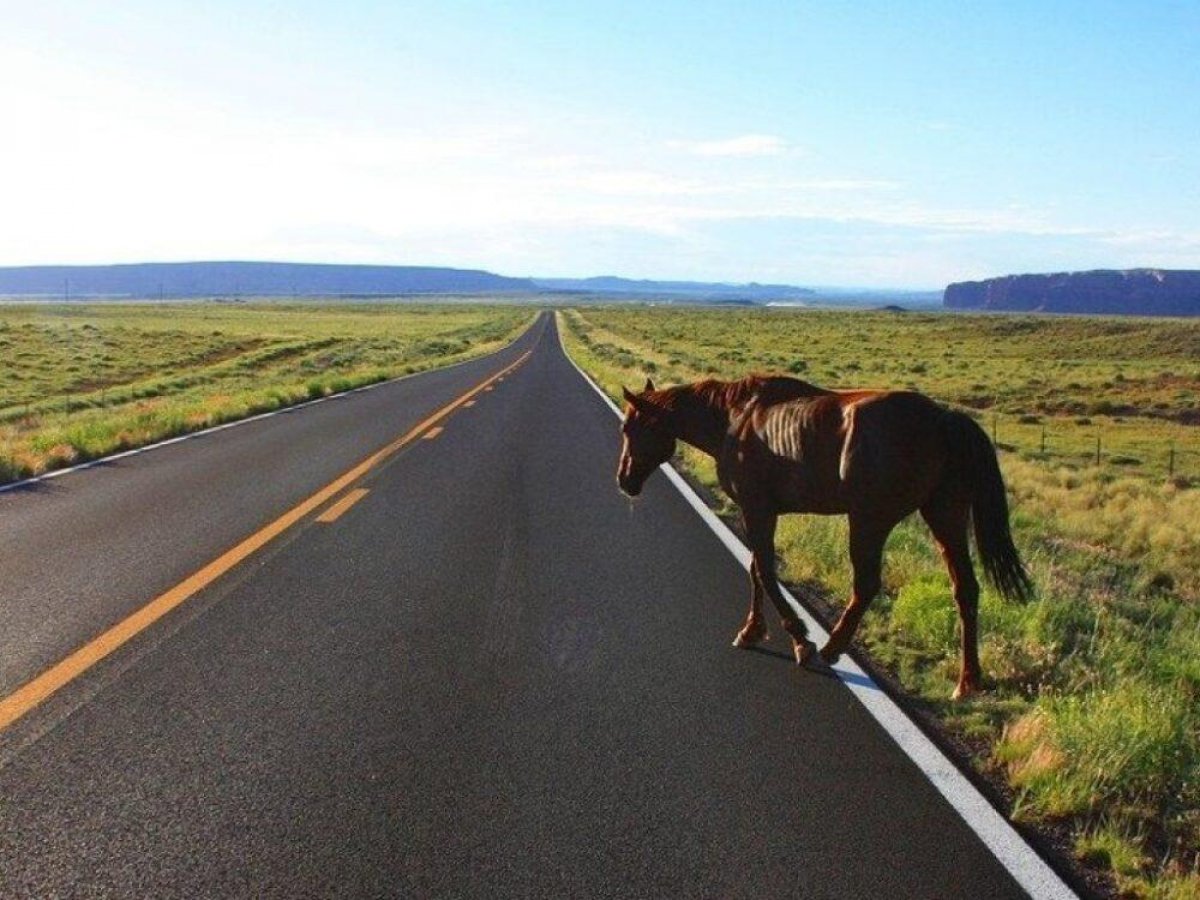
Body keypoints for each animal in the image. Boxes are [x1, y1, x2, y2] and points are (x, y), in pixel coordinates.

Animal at [616, 375, 1031, 699]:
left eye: (631, 429)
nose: (624, 480)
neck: (734, 420)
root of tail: (944, 419)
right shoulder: (761, 513)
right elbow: (755, 569)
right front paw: (752, 630)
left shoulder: (757, 510)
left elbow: (764, 571)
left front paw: (799, 638)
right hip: (944, 516)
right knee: (965, 588)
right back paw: (967, 681)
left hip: (869, 520)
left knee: (866, 585)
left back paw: (831, 647)